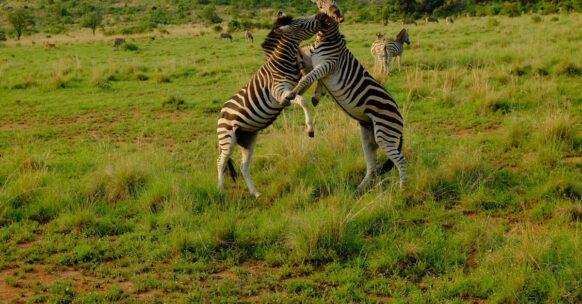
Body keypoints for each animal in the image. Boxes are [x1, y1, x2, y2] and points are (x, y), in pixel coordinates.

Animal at [217, 13, 330, 197]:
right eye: (301, 24)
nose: (322, 16)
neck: (283, 61)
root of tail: (220, 114)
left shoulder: (295, 86)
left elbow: (309, 83)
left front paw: (320, 92)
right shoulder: (279, 92)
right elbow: (302, 101)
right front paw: (310, 128)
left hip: (247, 139)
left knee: (243, 166)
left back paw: (256, 193)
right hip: (227, 138)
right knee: (220, 162)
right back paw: (220, 191)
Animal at [294, 14, 408, 190]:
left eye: (301, 22)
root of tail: (400, 119)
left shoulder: (328, 65)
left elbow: (307, 78)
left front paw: (291, 93)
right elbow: (310, 79)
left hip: (384, 133)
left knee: (400, 160)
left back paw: (402, 190)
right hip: (368, 137)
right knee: (373, 164)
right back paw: (362, 188)